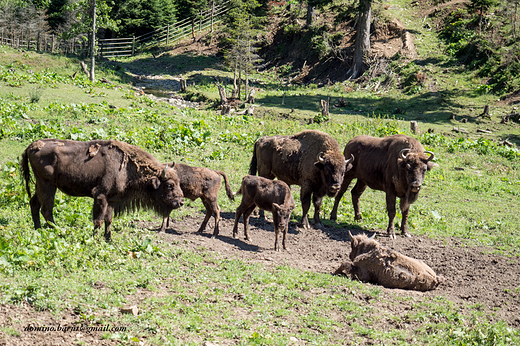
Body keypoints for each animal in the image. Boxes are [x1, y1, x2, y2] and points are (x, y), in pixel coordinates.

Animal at [20, 138, 185, 241]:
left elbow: (108, 220)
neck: (128, 169)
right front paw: (94, 239)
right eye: (169, 185)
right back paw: (57, 230)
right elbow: (98, 220)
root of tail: (31, 146)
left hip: (42, 185)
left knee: (35, 203)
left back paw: (38, 229)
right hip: (47, 185)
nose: (181, 202)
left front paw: (108, 239)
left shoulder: (111, 200)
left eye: (178, 182)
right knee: (46, 209)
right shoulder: (100, 197)